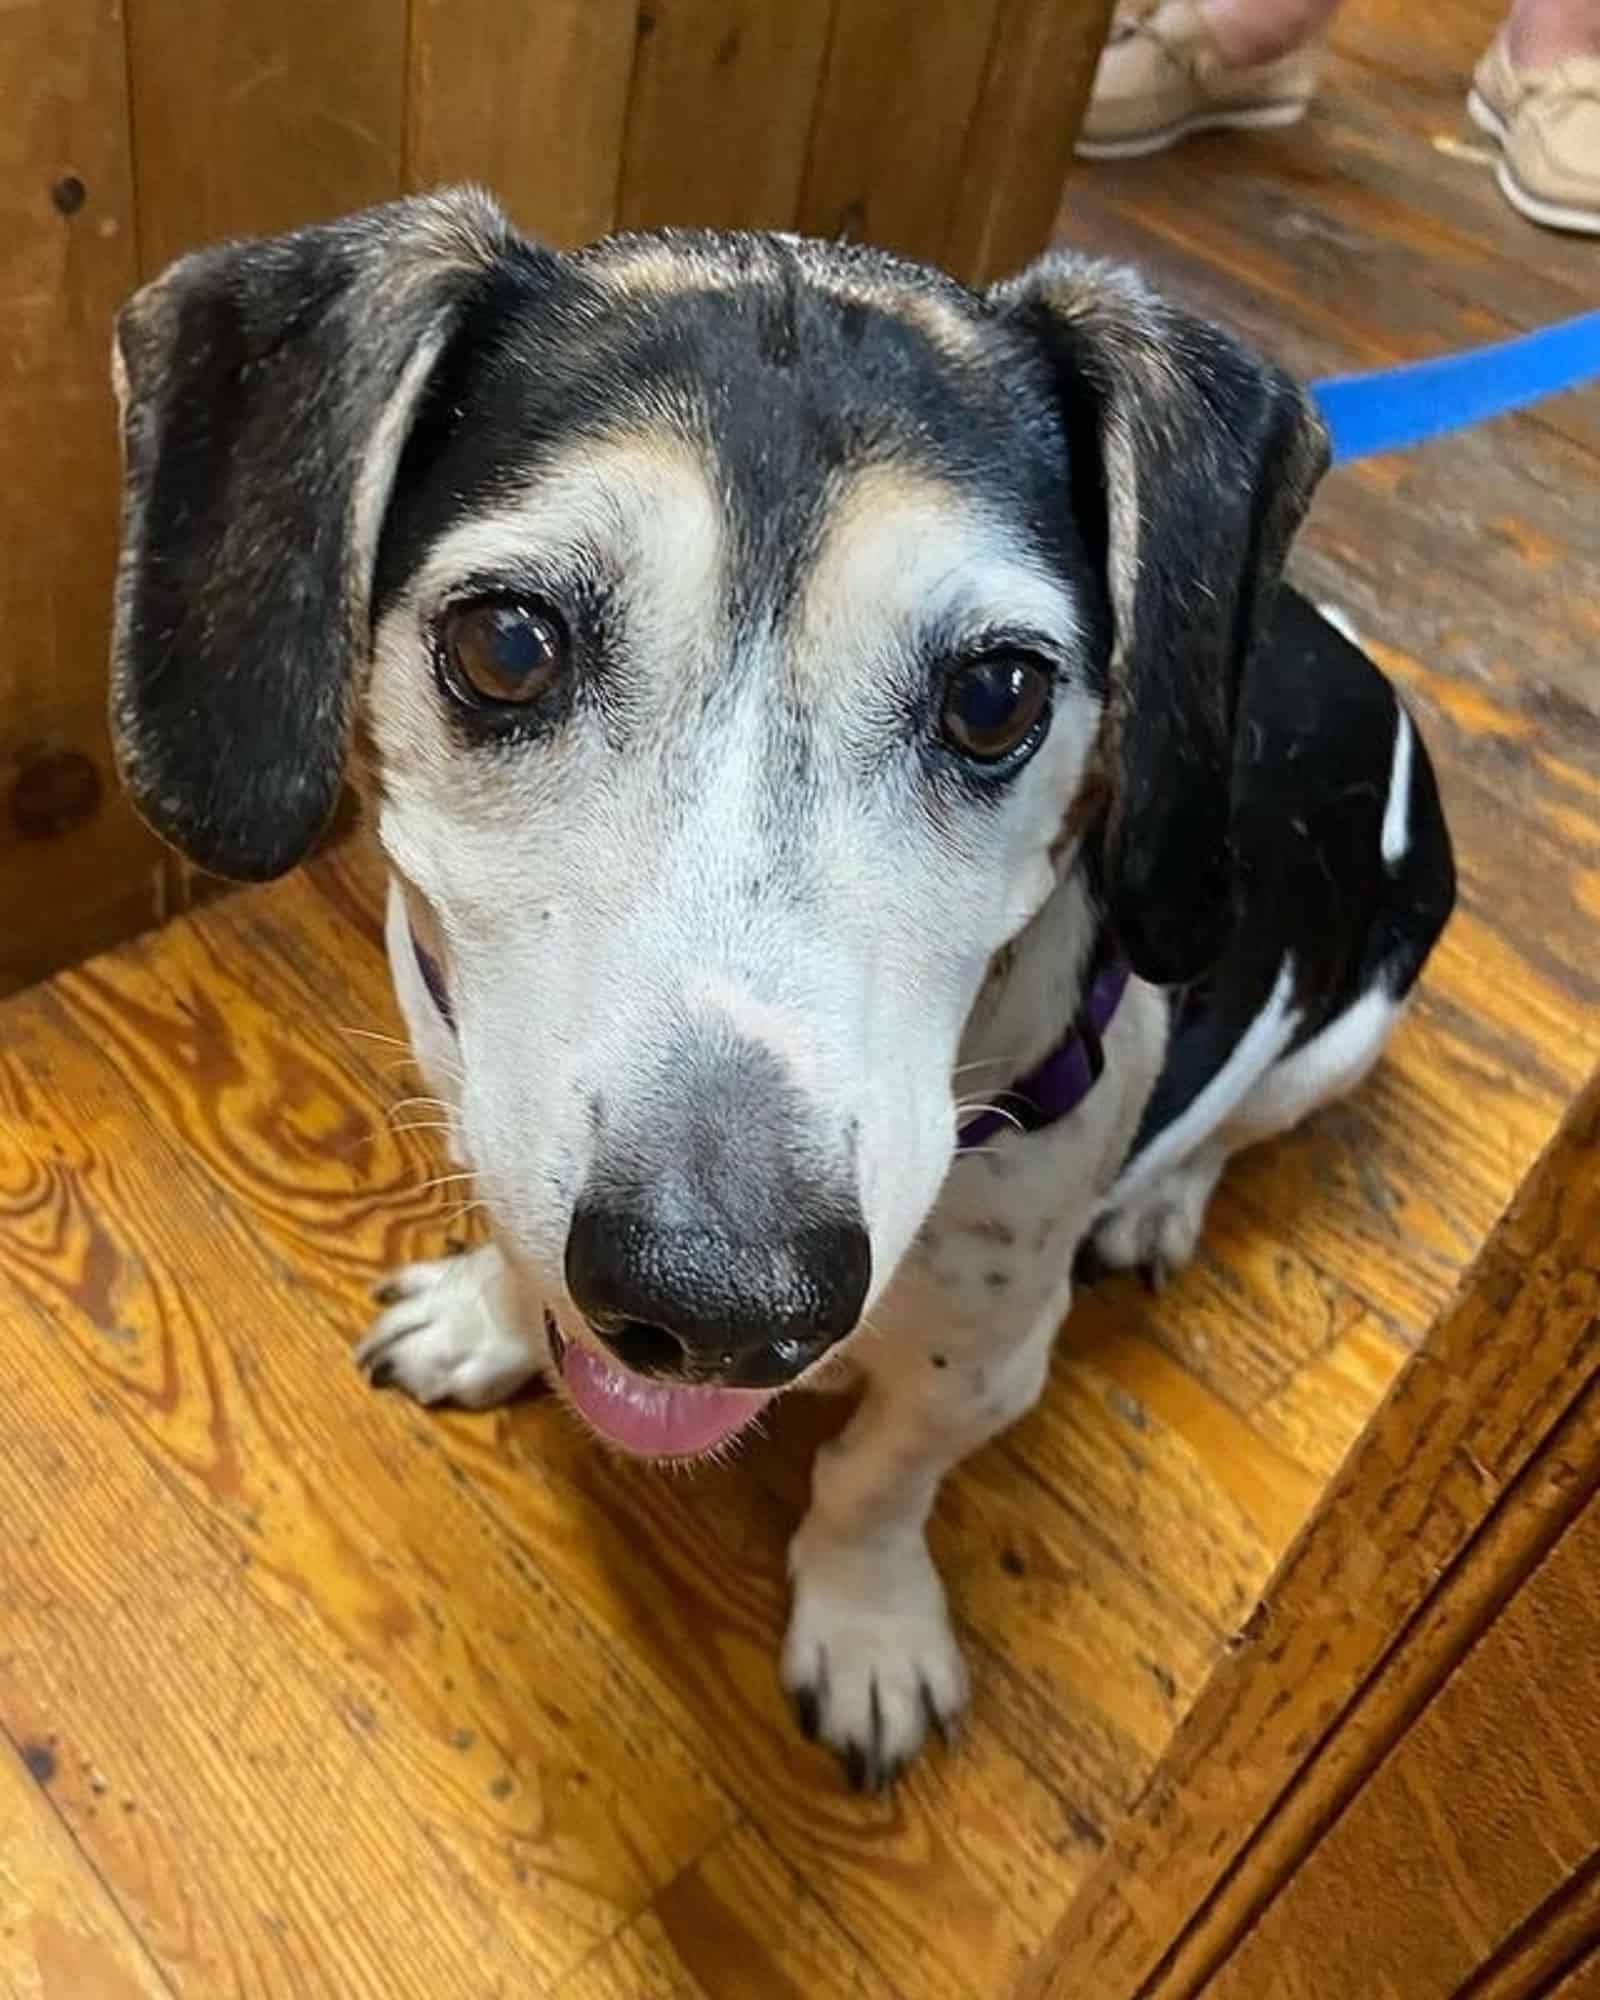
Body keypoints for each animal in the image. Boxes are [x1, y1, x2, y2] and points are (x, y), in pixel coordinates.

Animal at [106, 184, 1448, 1784]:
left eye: (996, 693)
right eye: (506, 645)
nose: (717, 1302)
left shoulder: (984, 1358)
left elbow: (875, 1479)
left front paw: (867, 1630)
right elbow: (515, 1232)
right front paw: (485, 1316)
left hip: (1347, 1029)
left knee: (1242, 1123)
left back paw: (1163, 1199)